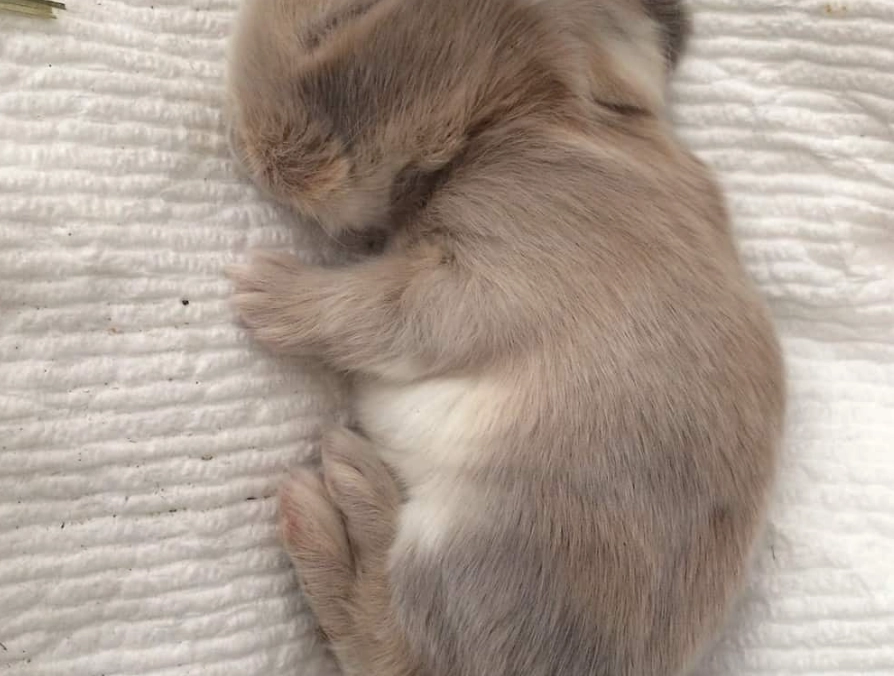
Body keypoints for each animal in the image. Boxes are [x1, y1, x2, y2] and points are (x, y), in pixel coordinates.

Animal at [225, 0, 785, 674]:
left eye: (338, 22)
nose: (250, 147)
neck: (532, 109)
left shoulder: (487, 278)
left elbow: (379, 308)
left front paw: (265, 290)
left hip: (471, 545)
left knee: (386, 636)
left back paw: (335, 491)